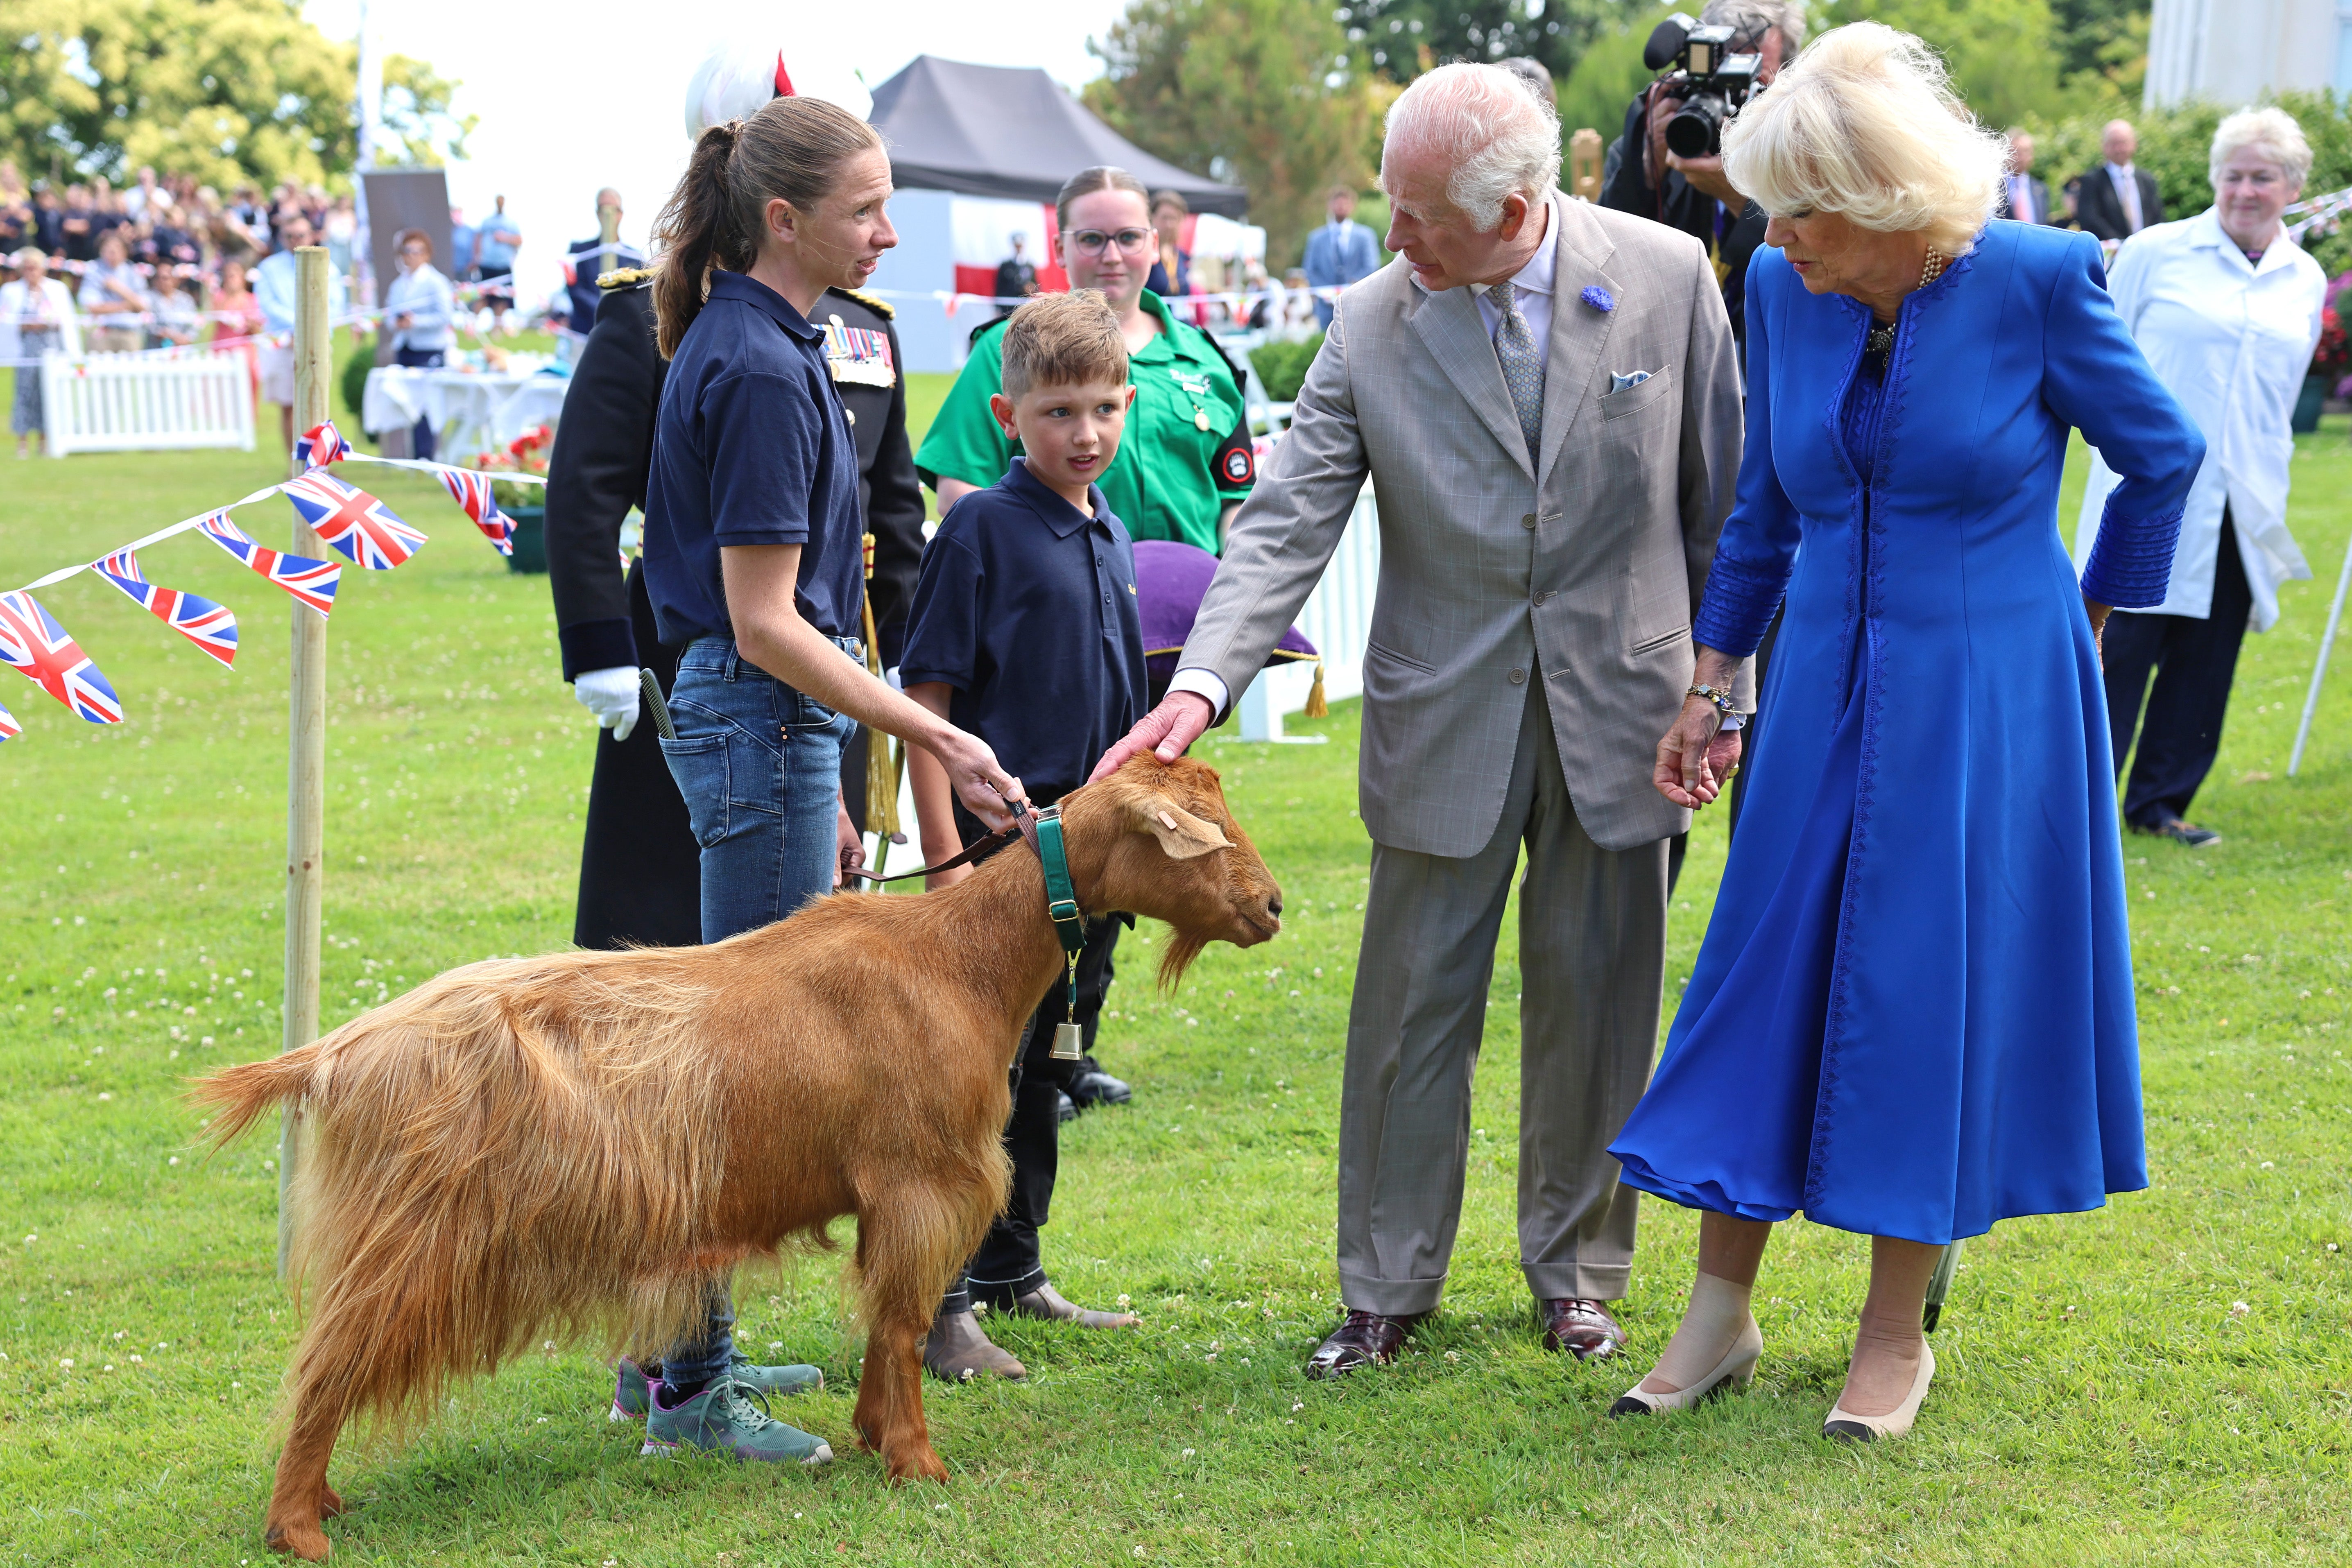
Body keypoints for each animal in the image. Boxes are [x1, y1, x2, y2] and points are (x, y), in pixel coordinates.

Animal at [190, 757, 1279, 1561]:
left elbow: (884, 1324)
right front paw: (916, 1464)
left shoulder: (896, 1199)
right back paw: (298, 1528)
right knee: (326, 1365)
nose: (1270, 906)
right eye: (1202, 831)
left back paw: (324, 1504)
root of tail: (335, 1052)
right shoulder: (922, 1187)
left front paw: (874, 1437)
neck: (956, 960)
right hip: (415, 1238)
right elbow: (901, 1324)